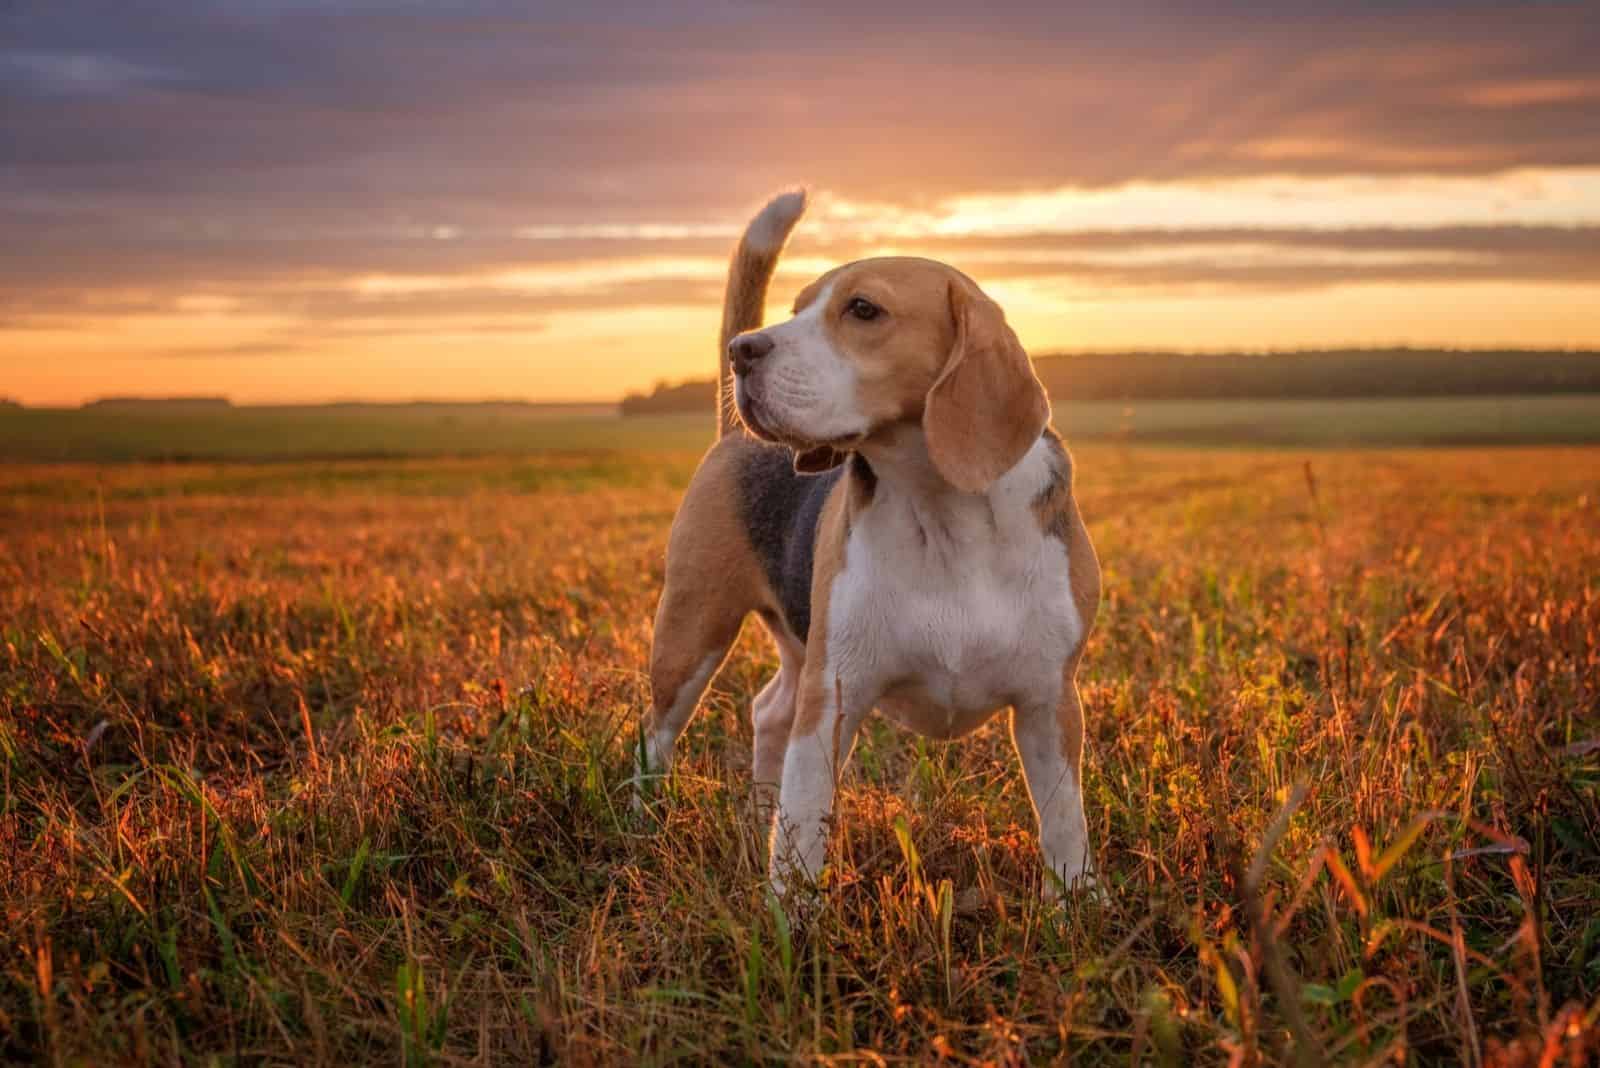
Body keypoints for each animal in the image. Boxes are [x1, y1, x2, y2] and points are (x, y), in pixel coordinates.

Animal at [636, 191, 1100, 901]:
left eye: (862, 310)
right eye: (796, 309)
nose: (744, 350)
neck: (942, 512)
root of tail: (732, 434)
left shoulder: (1051, 701)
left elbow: (1065, 822)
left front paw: (1076, 906)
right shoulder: (834, 695)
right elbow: (804, 824)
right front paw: (788, 918)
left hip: (795, 643)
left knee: (769, 711)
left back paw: (755, 816)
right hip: (692, 631)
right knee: (657, 738)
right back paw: (639, 824)